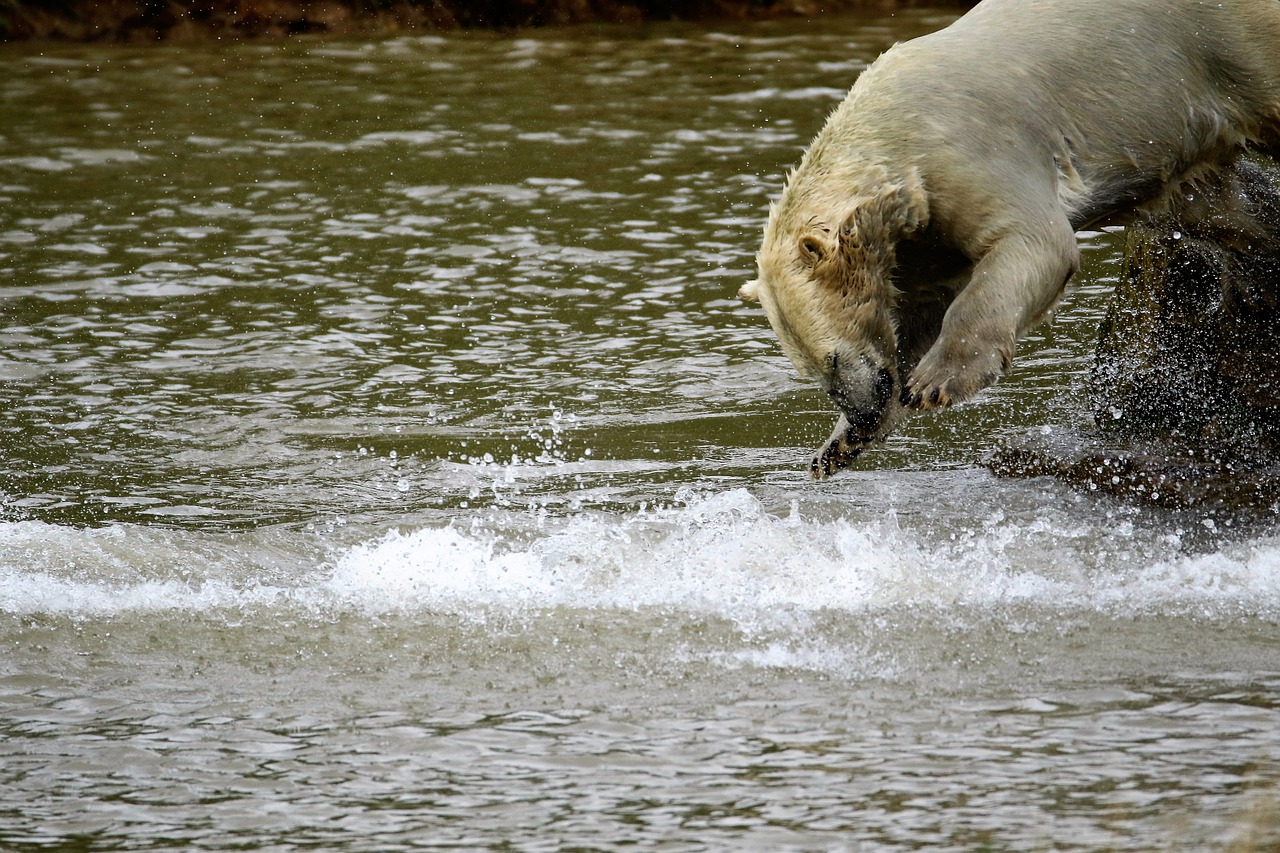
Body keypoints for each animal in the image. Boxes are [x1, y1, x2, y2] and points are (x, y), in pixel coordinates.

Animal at [742, 0, 1280, 473]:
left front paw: (935, 383)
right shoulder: (920, 234)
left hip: (1227, 46)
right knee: (1221, 210)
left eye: (832, 359)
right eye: (810, 370)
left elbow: (1034, 242)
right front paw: (836, 446)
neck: (891, 131)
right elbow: (921, 311)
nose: (861, 413)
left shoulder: (968, 148)